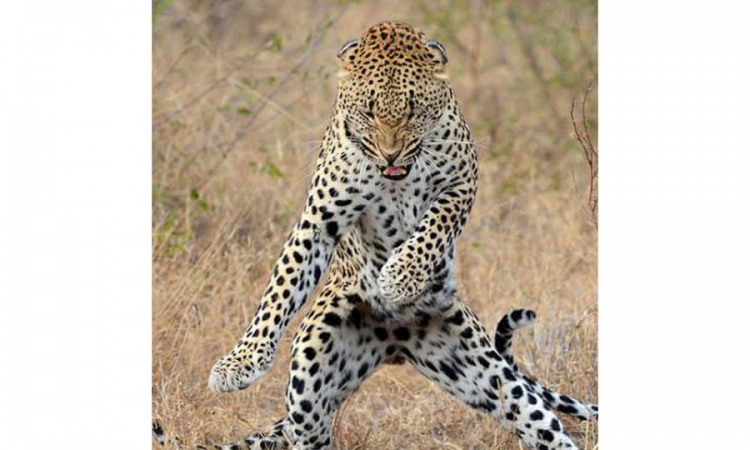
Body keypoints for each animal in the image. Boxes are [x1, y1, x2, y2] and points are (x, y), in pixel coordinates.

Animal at [201, 21, 597, 450]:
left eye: (413, 110)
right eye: (368, 111)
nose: (390, 154)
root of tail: (394, 342)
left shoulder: (462, 184)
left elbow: (434, 225)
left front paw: (400, 277)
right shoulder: (320, 218)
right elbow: (280, 288)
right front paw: (241, 360)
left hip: (487, 373)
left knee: (539, 420)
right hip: (311, 369)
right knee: (307, 427)